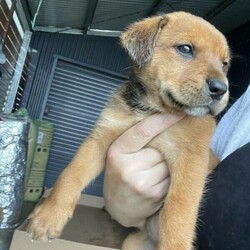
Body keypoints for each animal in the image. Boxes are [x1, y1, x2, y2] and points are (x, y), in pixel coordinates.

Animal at [26, 11, 230, 250]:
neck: (151, 110)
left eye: (224, 64)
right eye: (186, 49)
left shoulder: (191, 161)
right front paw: (48, 217)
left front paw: (175, 245)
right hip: (131, 243)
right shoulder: (100, 138)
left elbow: (179, 211)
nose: (221, 89)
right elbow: (71, 173)